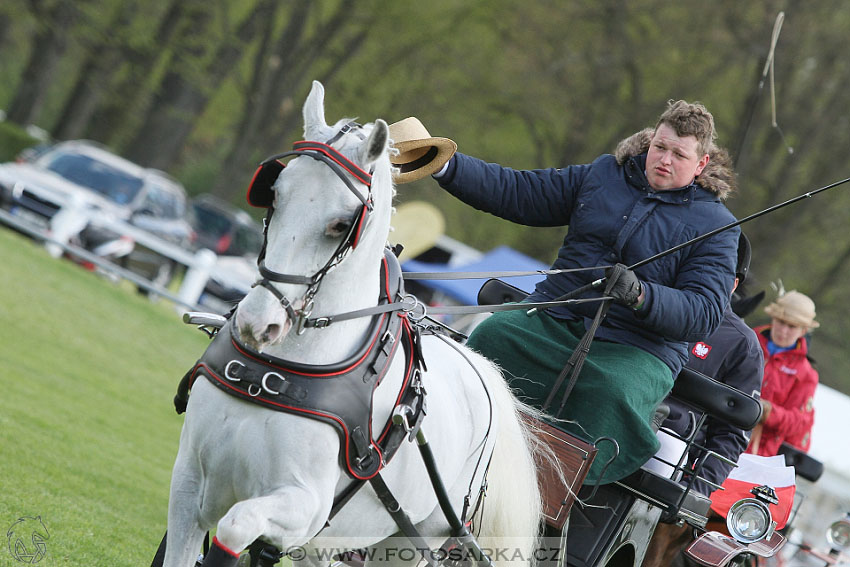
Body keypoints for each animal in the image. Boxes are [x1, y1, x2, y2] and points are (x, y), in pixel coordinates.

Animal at [162, 81, 540, 567]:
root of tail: (480, 368)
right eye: (274, 194)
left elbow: (236, 525)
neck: (280, 369)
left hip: (413, 540)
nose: (257, 323)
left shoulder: (303, 506)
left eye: (342, 224)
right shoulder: (189, 483)